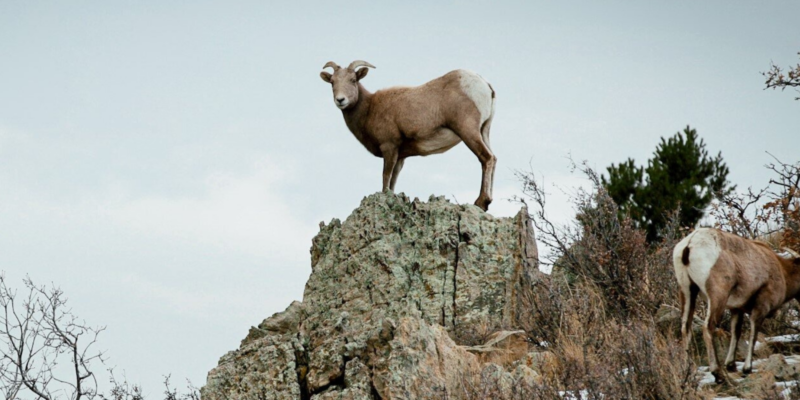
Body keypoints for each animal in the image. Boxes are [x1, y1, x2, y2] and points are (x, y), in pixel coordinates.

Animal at [319, 60, 497, 211]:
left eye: (353, 80)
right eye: (332, 82)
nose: (340, 100)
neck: (369, 108)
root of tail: (485, 85)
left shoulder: (389, 147)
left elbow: (386, 177)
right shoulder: (400, 156)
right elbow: (393, 181)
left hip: (468, 131)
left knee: (486, 158)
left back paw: (481, 202)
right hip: (484, 131)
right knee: (493, 158)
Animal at [672, 227, 800, 383]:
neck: (782, 272)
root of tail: (689, 245)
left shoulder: (736, 309)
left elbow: (736, 332)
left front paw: (731, 365)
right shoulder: (760, 307)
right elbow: (753, 334)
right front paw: (747, 369)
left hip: (687, 291)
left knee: (686, 328)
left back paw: (687, 372)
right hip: (717, 295)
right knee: (708, 327)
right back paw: (718, 373)